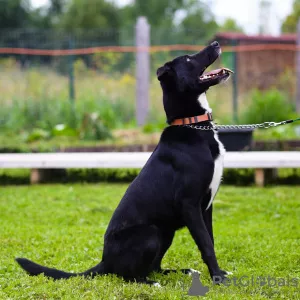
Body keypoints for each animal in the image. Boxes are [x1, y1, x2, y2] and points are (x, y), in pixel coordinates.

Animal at [15, 40, 232, 286]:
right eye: (187, 59)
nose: (216, 43)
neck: (192, 124)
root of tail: (104, 261)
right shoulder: (190, 204)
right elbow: (206, 244)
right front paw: (218, 278)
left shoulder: (206, 205)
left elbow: (210, 240)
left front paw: (218, 273)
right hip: (151, 234)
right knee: (128, 275)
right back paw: (151, 283)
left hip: (166, 233)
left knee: (154, 267)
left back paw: (180, 272)